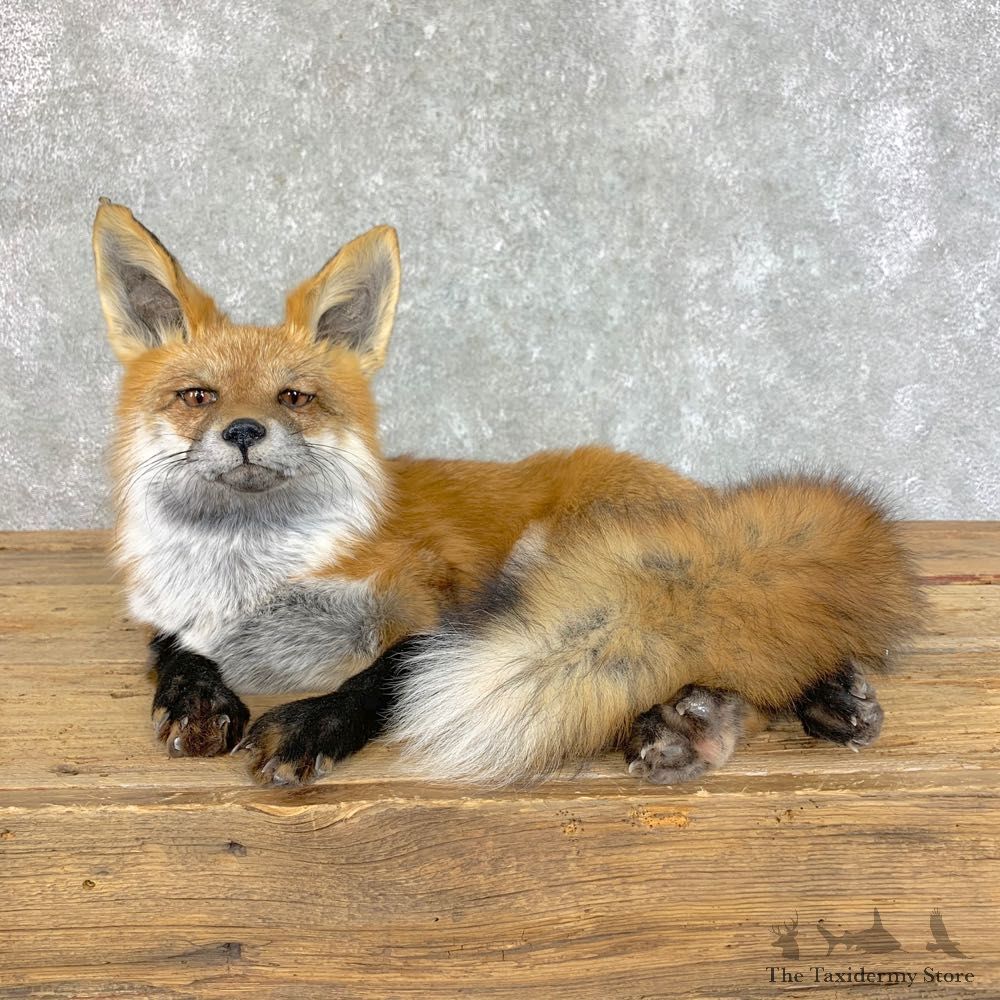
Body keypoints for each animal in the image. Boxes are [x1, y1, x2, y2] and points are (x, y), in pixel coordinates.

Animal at [92, 199, 924, 787]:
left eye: (294, 397)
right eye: (198, 396)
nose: (242, 430)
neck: (253, 580)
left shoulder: (445, 592)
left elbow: (388, 671)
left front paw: (315, 722)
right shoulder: (177, 610)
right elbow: (173, 648)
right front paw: (196, 697)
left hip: (556, 558)